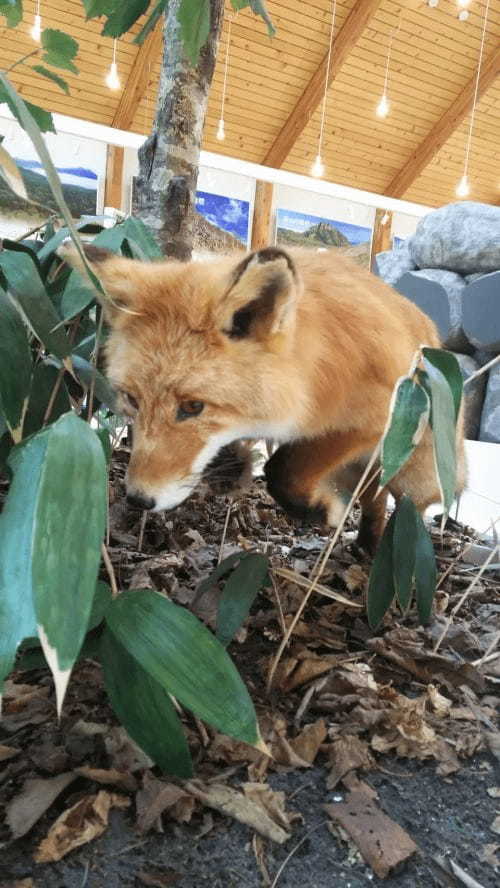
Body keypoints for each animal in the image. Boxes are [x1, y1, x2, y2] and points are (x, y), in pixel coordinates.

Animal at [61, 246, 464, 552]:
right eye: (132, 399)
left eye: (192, 406)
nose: (138, 499)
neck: (314, 371)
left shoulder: (383, 416)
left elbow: (284, 469)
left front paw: (320, 510)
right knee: (374, 496)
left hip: (414, 470)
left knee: (404, 503)